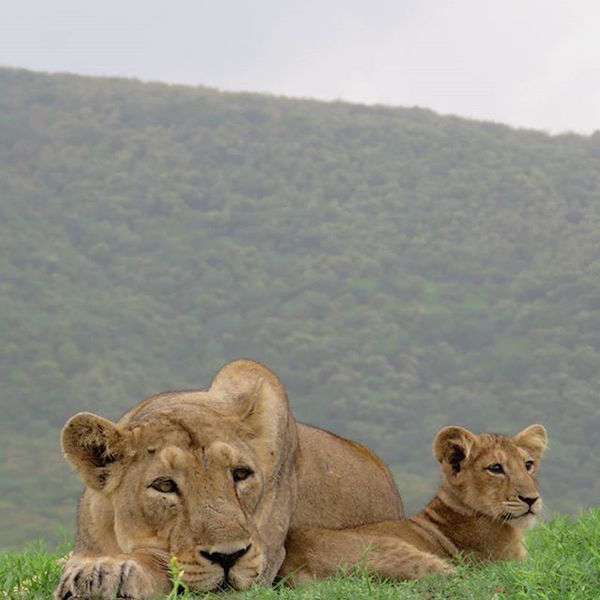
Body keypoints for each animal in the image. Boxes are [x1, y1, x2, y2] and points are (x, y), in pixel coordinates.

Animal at [55, 359, 403, 599]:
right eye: (164, 485)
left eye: (240, 474)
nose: (228, 557)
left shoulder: (265, 558)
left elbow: (165, 564)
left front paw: (107, 573)